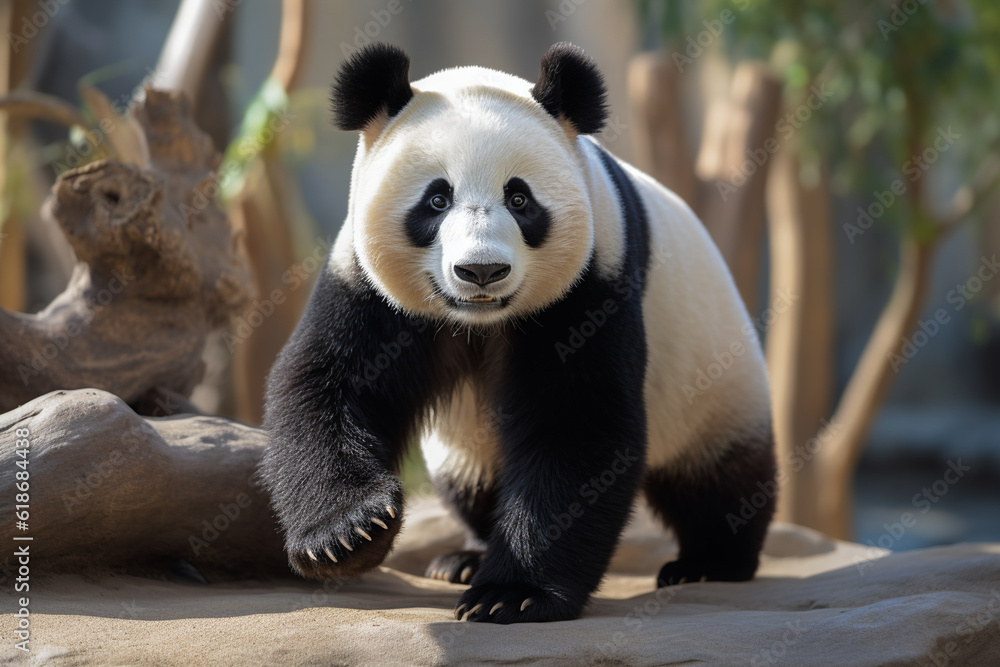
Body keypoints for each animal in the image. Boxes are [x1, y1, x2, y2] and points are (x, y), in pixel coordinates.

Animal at [261, 42, 776, 624]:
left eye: (520, 199)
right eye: (436, 199)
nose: (481, 271)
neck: (478, 323)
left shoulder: (593, 282)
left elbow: (575, 422)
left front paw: (511, 595)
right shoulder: (364, 285)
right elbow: (329, 386)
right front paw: (348, 535)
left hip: (713, 373)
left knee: (717, 478)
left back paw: (709, 561)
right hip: (465, 445)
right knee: (473, 483)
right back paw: (463, 558)